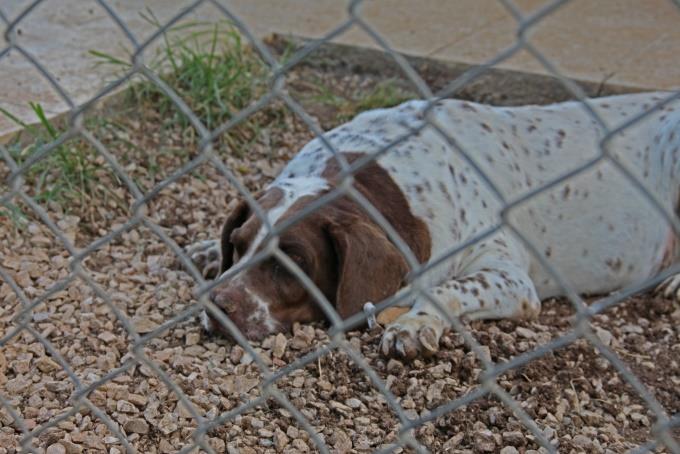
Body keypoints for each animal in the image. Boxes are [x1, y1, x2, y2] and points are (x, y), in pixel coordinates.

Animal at [185, 92, 680, 360]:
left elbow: (447, 288)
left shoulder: (511, 278)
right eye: (238, 243)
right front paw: (208, 249)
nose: (217, 306)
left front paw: (413, 324)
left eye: (294, 262)